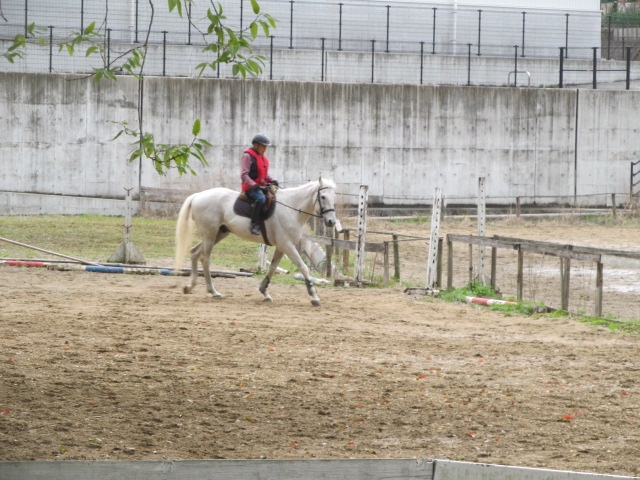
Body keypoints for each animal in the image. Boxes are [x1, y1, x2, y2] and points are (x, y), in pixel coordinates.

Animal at [174, 178, 337, 306]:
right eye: (323, 197)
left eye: (334, 197)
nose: (331, 222)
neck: (292, 209)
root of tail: (198, 196)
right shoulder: (287, 245)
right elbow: (303, 268)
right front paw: (314, 297)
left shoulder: (281, 246)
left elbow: (272, 268)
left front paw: (264, 292)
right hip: (210, 234)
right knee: (205, 259)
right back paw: (213, 291)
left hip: (219, 234)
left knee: (195, 252)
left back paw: (190, 287)